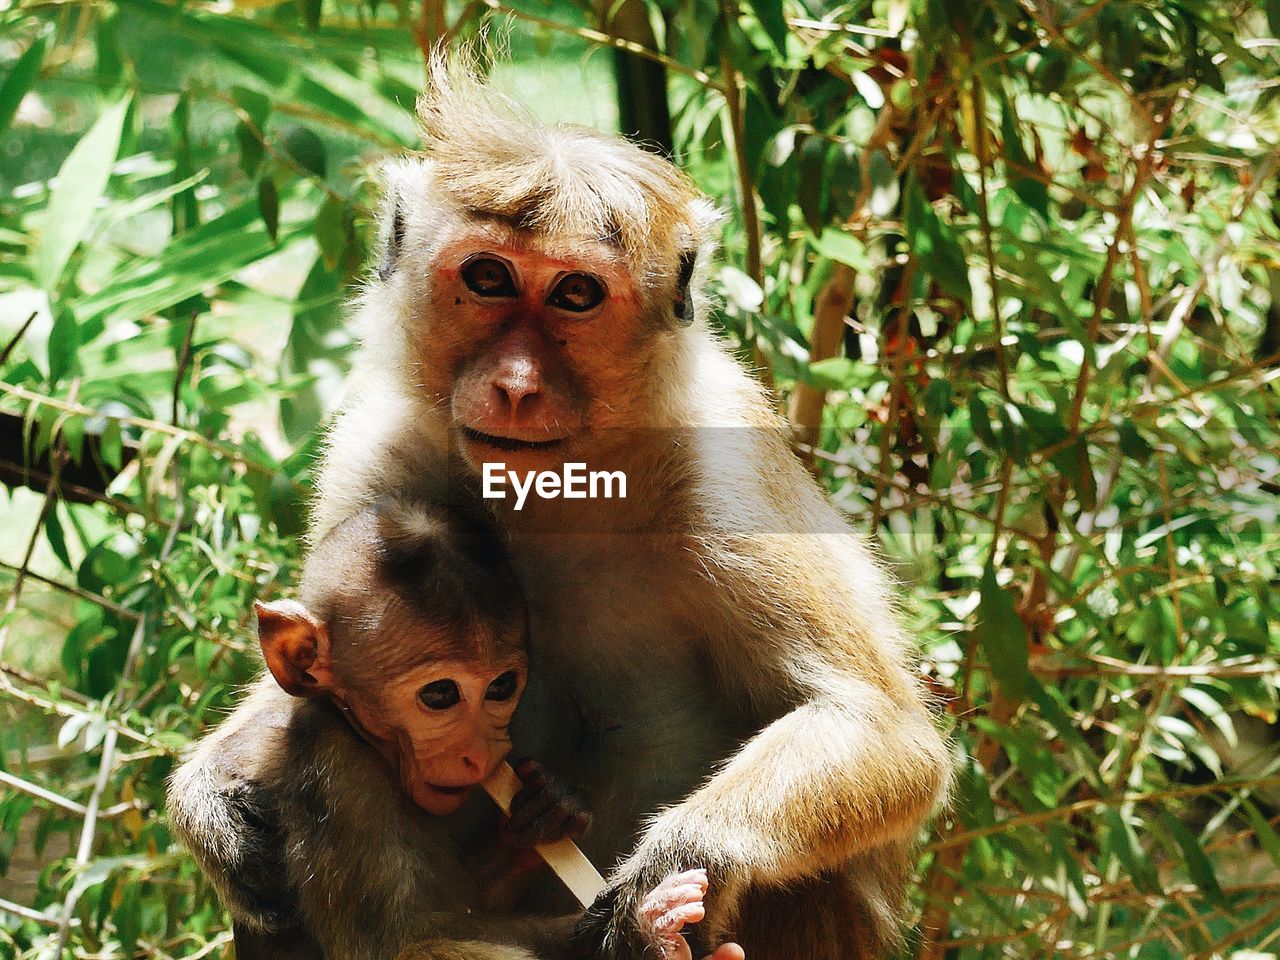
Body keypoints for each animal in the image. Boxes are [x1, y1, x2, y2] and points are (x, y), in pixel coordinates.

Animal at [232, 504, 742, 960]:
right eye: (439, 694)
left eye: (501, 687)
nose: (482, 753)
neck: (361, 739)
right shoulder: (339, 777)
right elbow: (410, 943)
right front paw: (644, 929)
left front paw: (552, 807)